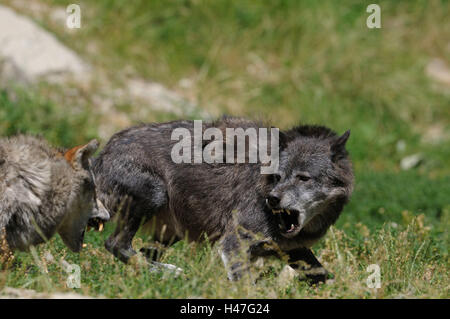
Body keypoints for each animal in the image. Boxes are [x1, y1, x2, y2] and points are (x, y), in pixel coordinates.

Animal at [93, 117, 354, 282]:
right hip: (156, 196)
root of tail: (102, 154)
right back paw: (172, 273)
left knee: (144, 253)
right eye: (278, 177)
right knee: (115, 244)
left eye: (303, 178)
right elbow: (245, 285)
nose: (272, 199)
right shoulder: (234, 242)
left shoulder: (294, 250)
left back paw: (169, 274)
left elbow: (322, 276)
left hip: (172, 231)